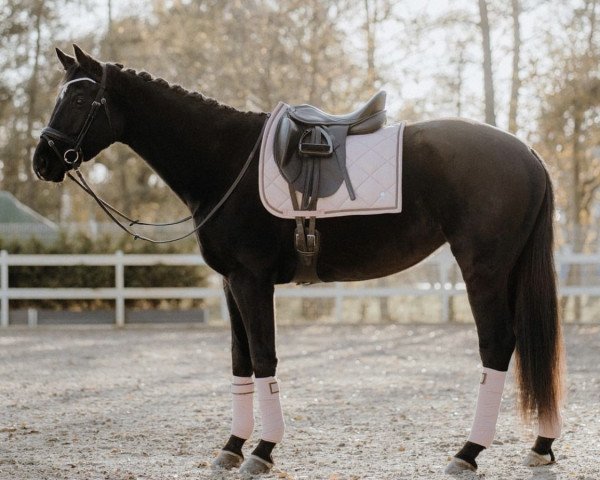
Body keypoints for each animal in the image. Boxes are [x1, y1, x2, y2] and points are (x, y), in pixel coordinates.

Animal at [35, 47, 564, 474]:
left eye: (80, 100)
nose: (42, 161)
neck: (225, 161)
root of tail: (528, 152)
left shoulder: (252, 280)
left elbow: (263, 357)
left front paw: (263, 451)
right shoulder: (230, 283)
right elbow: (240, 359)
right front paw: (232, 446)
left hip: (483, 270)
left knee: (497, 345)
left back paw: (468, 452)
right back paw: (540, 445)